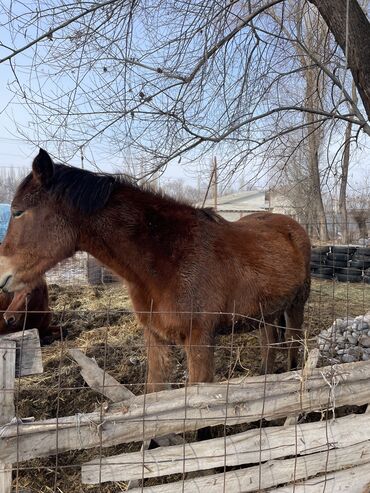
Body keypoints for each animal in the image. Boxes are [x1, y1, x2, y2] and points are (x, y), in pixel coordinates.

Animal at [0, 148, 310, 386]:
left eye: (18, 211)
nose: (2, 274)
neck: (168, 260)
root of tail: (291, 225)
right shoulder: (156, 339)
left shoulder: (200, 342)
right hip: (267, 314)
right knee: (269, 347)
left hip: (296, 308)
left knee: (293, 349)